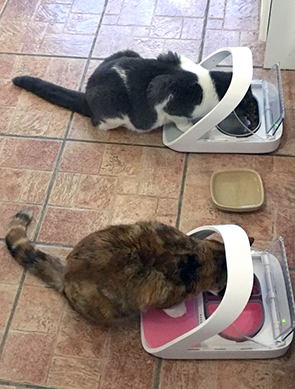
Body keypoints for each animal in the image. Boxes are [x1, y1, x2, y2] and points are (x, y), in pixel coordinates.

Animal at [4, 211, 254, 322]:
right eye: (223, 287)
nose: (221, 293)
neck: (195, 258)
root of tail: (66, 272)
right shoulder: (160, 293)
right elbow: (169, 306)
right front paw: (179, 311)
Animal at [12, 50, 256, 133]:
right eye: (251, 107)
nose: (254, 117)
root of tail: (87, 94)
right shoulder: (170, 99)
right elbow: (180, 119)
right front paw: (189, 126)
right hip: (113, 111)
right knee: (97, 122)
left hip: (128, 52)